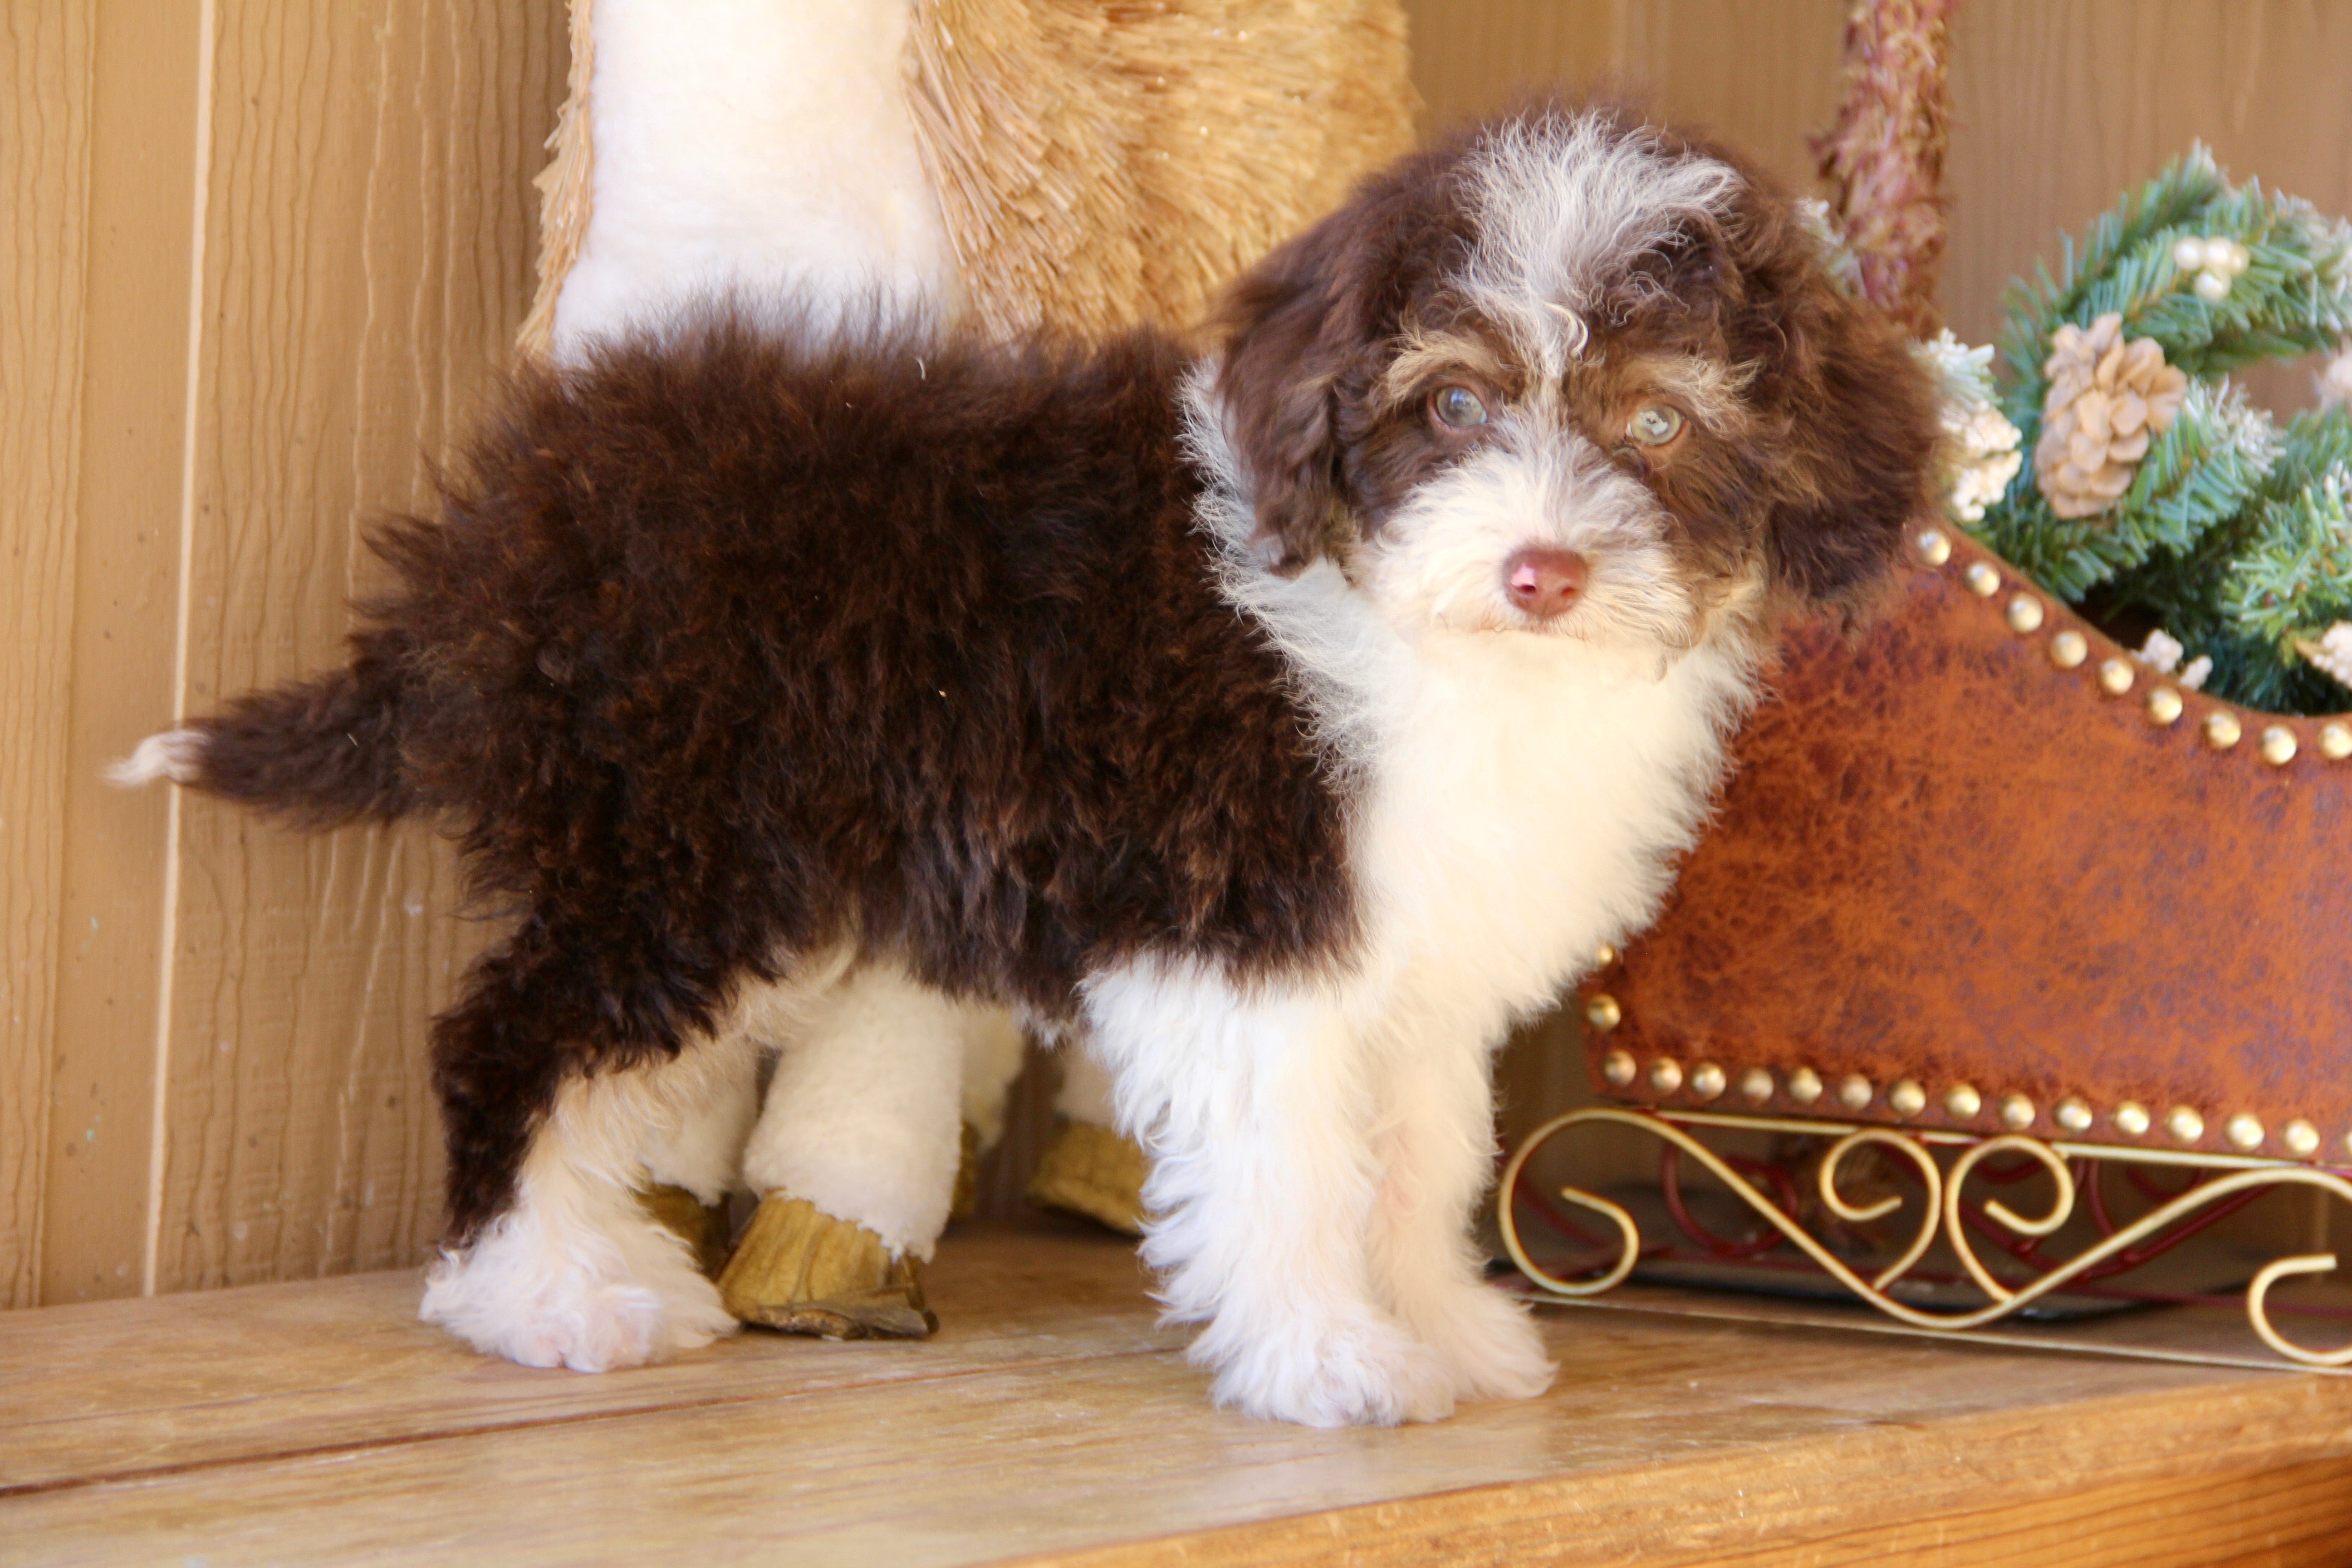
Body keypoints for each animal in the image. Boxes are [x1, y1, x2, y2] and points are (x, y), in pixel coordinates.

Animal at [119, 108, 1938, 1439]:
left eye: (1658, 429)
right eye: (1454, 404)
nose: (1542, 570)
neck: (1402, 622)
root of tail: (522, 515)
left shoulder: (1410, 964)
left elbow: (1416, 1162)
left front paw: (1437, 1330)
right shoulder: (1241, 936)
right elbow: (1296, 1165)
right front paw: (1324, 1362)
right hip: (686, 854)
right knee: (510, 1041)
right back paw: (548, 1297)